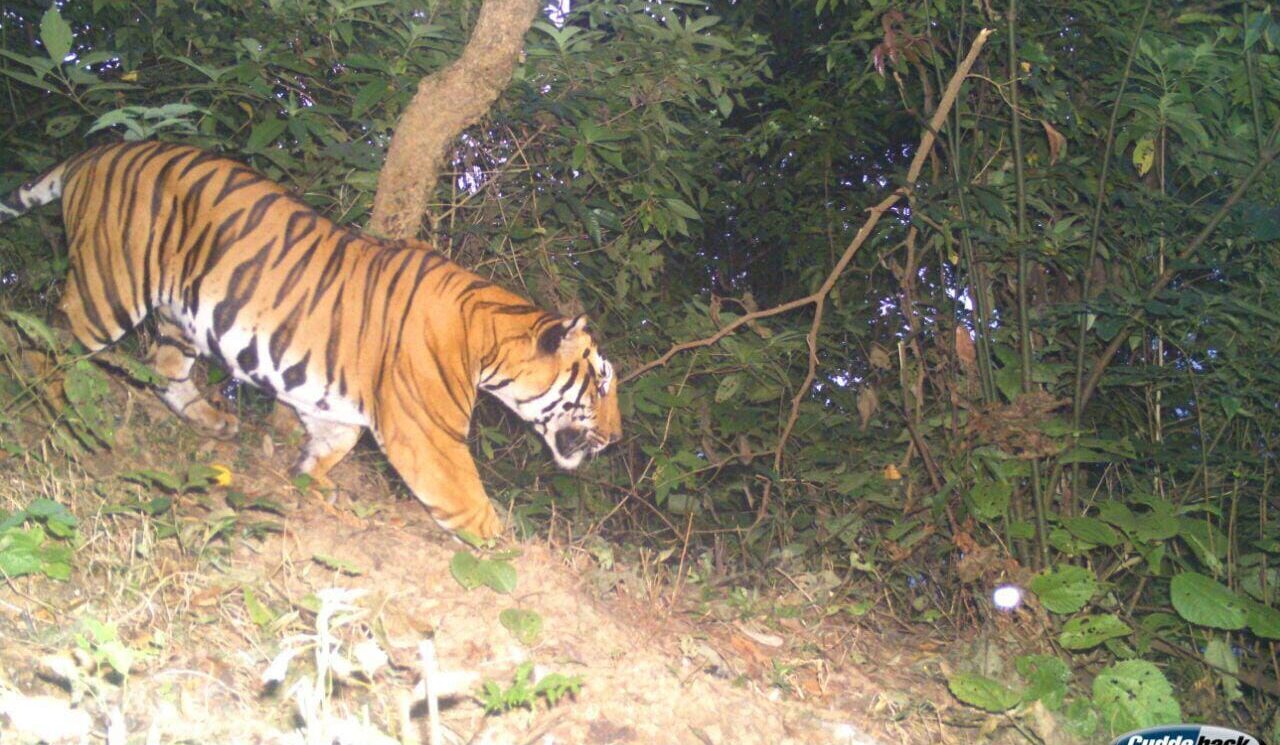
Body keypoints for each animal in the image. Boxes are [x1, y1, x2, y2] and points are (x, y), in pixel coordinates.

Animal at [0, 140, 621, 539]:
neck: (489, 344)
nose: (615, 439)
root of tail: (97, 150)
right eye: (600, 384)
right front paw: (511, 555)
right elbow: (469, 502)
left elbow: (332, 442)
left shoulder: (335, 399)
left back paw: (214, 422)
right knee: (47, 347)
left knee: (166, 370)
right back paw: (66, 420)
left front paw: (310, 481)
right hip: (110, 283)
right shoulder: (430, 435)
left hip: (180, 315)